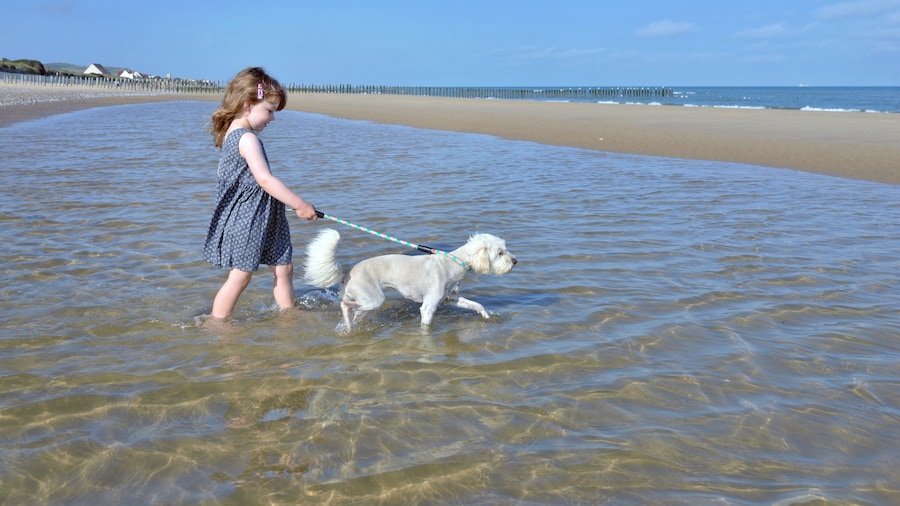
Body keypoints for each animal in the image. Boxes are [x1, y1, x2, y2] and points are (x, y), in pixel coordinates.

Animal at [302, 229, 516, 332]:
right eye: (500, 252)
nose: (515, 261)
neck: (453, 262)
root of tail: (347, 272)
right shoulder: (428, 307)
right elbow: (426, 325)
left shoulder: (450, 299)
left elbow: (477, 304)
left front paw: (486, 316)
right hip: (373, 299)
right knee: (345, 306)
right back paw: (347, 326)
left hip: (366, 304)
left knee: (354, 312)